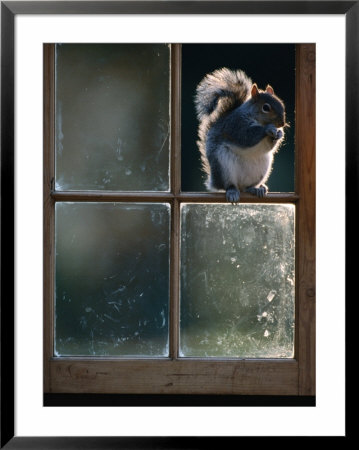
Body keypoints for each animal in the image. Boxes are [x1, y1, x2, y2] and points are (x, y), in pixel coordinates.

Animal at [195, 67, 288, 201]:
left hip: (261, 169)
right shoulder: (236, 125)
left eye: (281, 104)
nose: (282, 123)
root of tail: (214, 181)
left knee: (245, 187)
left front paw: (279, 134)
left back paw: (256, 189)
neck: (255, 118)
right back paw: (232, 191)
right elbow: (246, 137)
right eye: (266, 108)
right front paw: (268, 128)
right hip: (223, 166)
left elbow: (269, 146)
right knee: (229, 185)